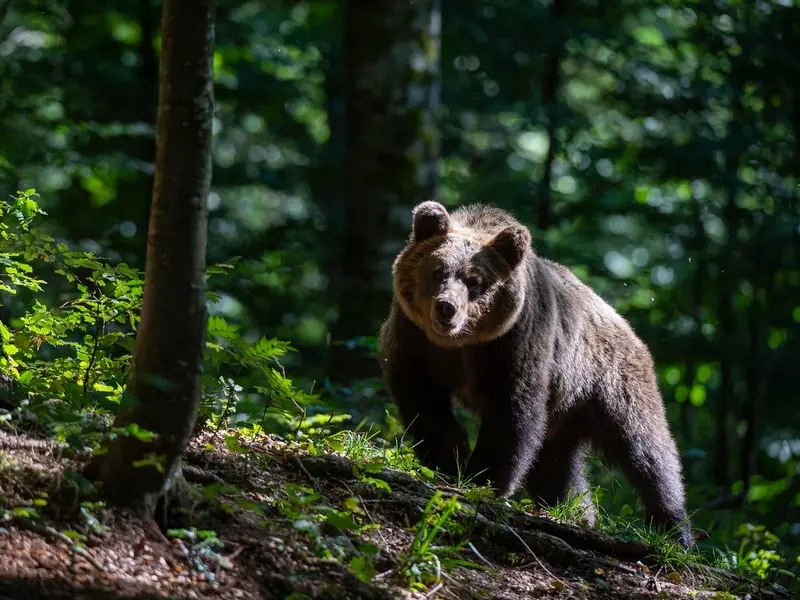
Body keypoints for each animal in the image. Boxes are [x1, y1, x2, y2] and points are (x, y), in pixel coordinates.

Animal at [376, 200, 692, 548]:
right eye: (437, 271)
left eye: (475, 281)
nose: (447, 307)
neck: (461, 343)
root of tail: (624, 323)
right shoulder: (415, 339)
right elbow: (425, 404)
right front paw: (448, 462)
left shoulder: (516, 343)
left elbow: (512, 414)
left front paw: (482, 479)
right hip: (565, 413)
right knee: (556, 463)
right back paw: (574, 510)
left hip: (608, 382)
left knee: (647, 452)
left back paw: (675, 531)